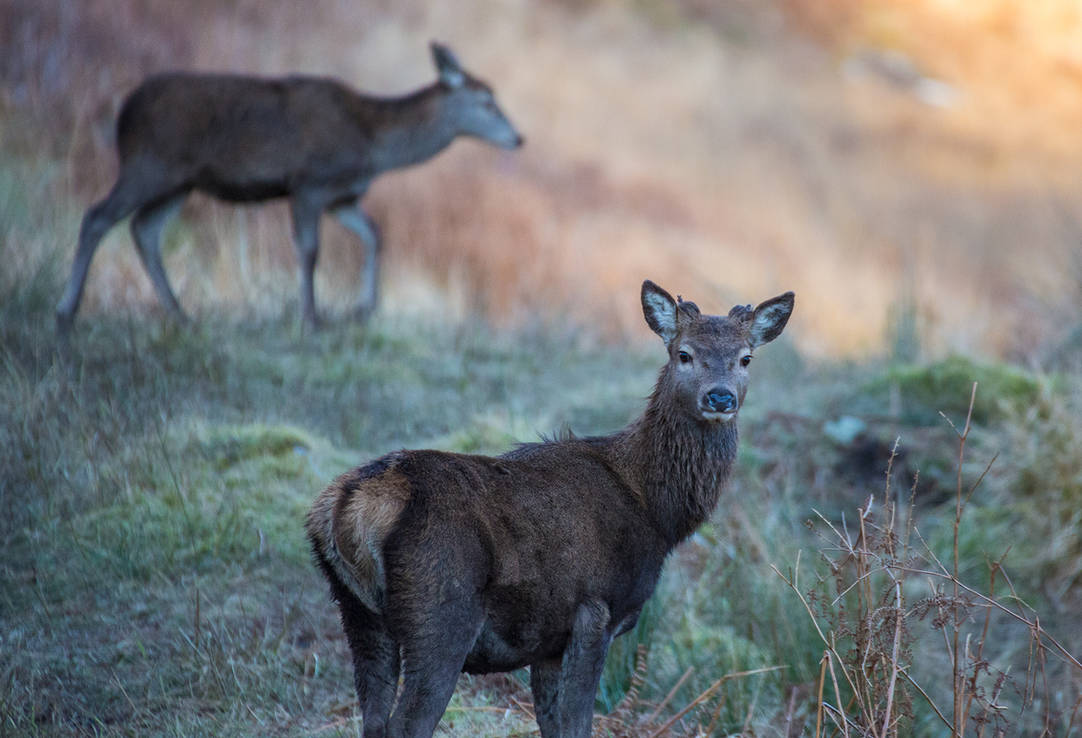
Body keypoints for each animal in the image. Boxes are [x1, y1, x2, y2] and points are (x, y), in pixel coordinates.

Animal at [54, 43, 523, 333]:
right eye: (486, 102)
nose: (518, 137)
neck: (371, 142)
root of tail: (122, 112)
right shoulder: (309, 183)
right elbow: (310, 250)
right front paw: (312, 319)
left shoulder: (341, 196)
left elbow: (375, 233)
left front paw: (363, 308)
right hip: (149, 163)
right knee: (98, 216)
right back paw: (66, 312)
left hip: (180, 181)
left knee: (144, 229)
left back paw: (182, 316)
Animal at [305, 277, 796, 735]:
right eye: (684, 354)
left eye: (746, 358)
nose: (720, 397)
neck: (655, 511)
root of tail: (349, 505)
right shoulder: (594, 608)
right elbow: (578, 723)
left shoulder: (548, 641)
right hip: (440, 606)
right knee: (407, 722)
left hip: (358, 612)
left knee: (372, 718)